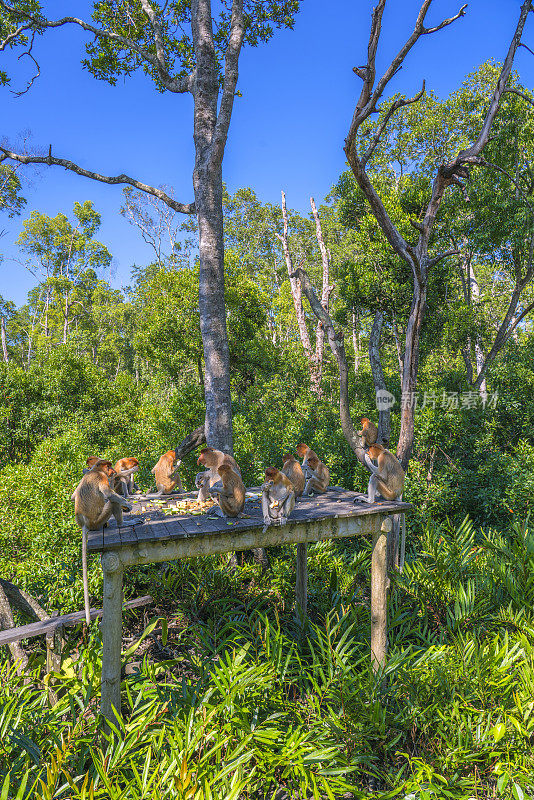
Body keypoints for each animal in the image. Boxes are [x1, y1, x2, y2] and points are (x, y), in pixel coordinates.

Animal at [71, 456, 132, 624]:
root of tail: (85, 524)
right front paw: (127, 504)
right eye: (108, 466)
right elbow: (108, 493)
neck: (95, 470)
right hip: (98, 519)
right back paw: (122, 523)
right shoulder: (101, 477)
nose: (112, 471)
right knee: (111, 502)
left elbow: (72, 496)